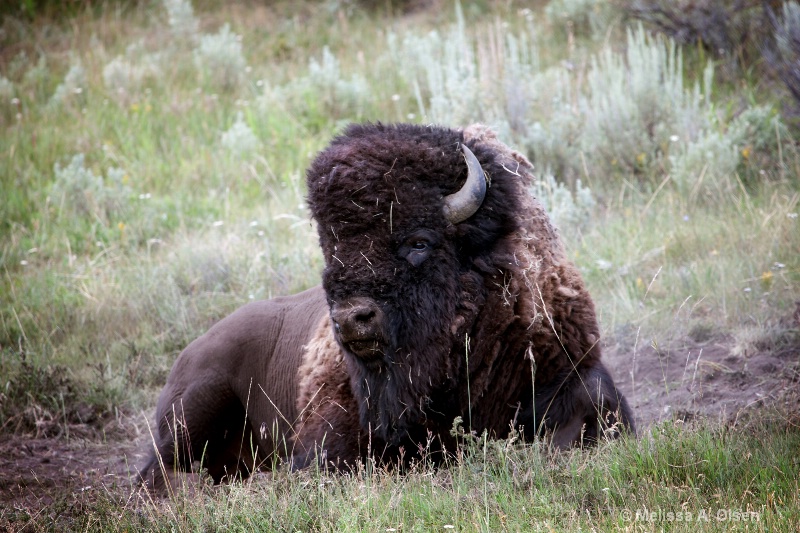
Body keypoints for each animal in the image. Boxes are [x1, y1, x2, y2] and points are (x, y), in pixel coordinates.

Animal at [141, 122, 636, 488]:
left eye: (418, 242)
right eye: (331, 250)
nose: (351, 319)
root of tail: (194, 347)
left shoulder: (573, 370)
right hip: (194, 407)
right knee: (157, 470)